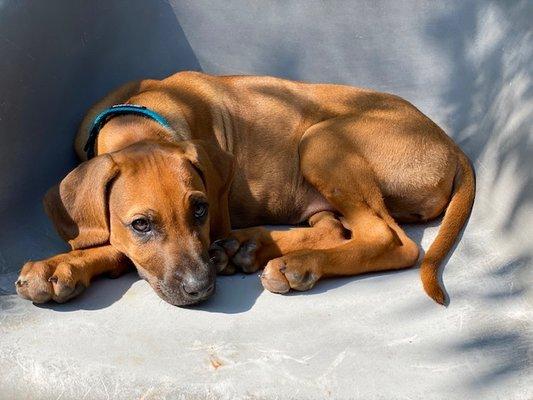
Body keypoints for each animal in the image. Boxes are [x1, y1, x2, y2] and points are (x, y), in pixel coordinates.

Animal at [15, 72, 474, 304]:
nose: (200, 289)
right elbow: (114, 243)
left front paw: (58, 265)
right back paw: (249, 246)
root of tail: (453, 147)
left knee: (392, 241)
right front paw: (64, 266)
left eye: (200, 209)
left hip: (322, 140)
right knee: (335, 228)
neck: (142, 113)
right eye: (141, 224)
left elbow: (113, 246)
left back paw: (294, 264)